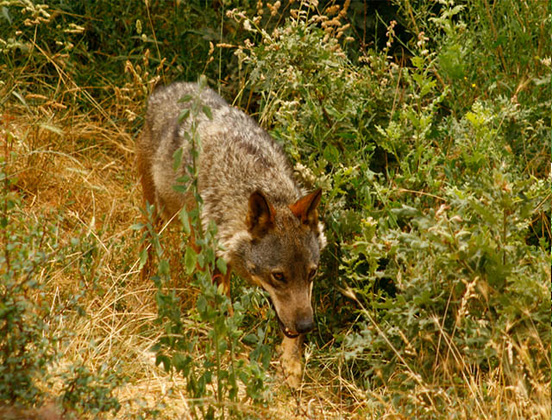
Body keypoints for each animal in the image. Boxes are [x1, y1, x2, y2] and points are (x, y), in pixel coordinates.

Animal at [136, 81, 326, 388]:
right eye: (279, 276)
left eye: (312, 273)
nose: (307, 325)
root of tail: (167, 89)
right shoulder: (214, 261)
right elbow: (224, 313)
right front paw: (234, 354)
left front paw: (292, 364)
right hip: (156, 213)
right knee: (148, 243)